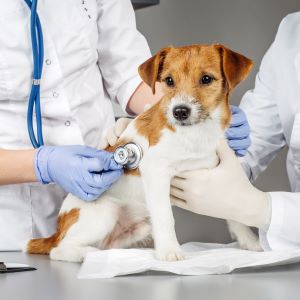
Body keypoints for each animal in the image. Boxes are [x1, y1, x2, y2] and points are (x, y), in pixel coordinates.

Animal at [26, 44, 260, 262]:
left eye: (206, 79)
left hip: (139, 228)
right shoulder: (156, 172)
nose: (180, 111)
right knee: (60, 250)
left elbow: (231, 209)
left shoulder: (216, 170)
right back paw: (90, 254)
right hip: (104, 212)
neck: (195, 134)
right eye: (168, 81)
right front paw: (169, 251)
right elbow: (165, 216)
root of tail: (57, 231)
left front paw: (249, 241)